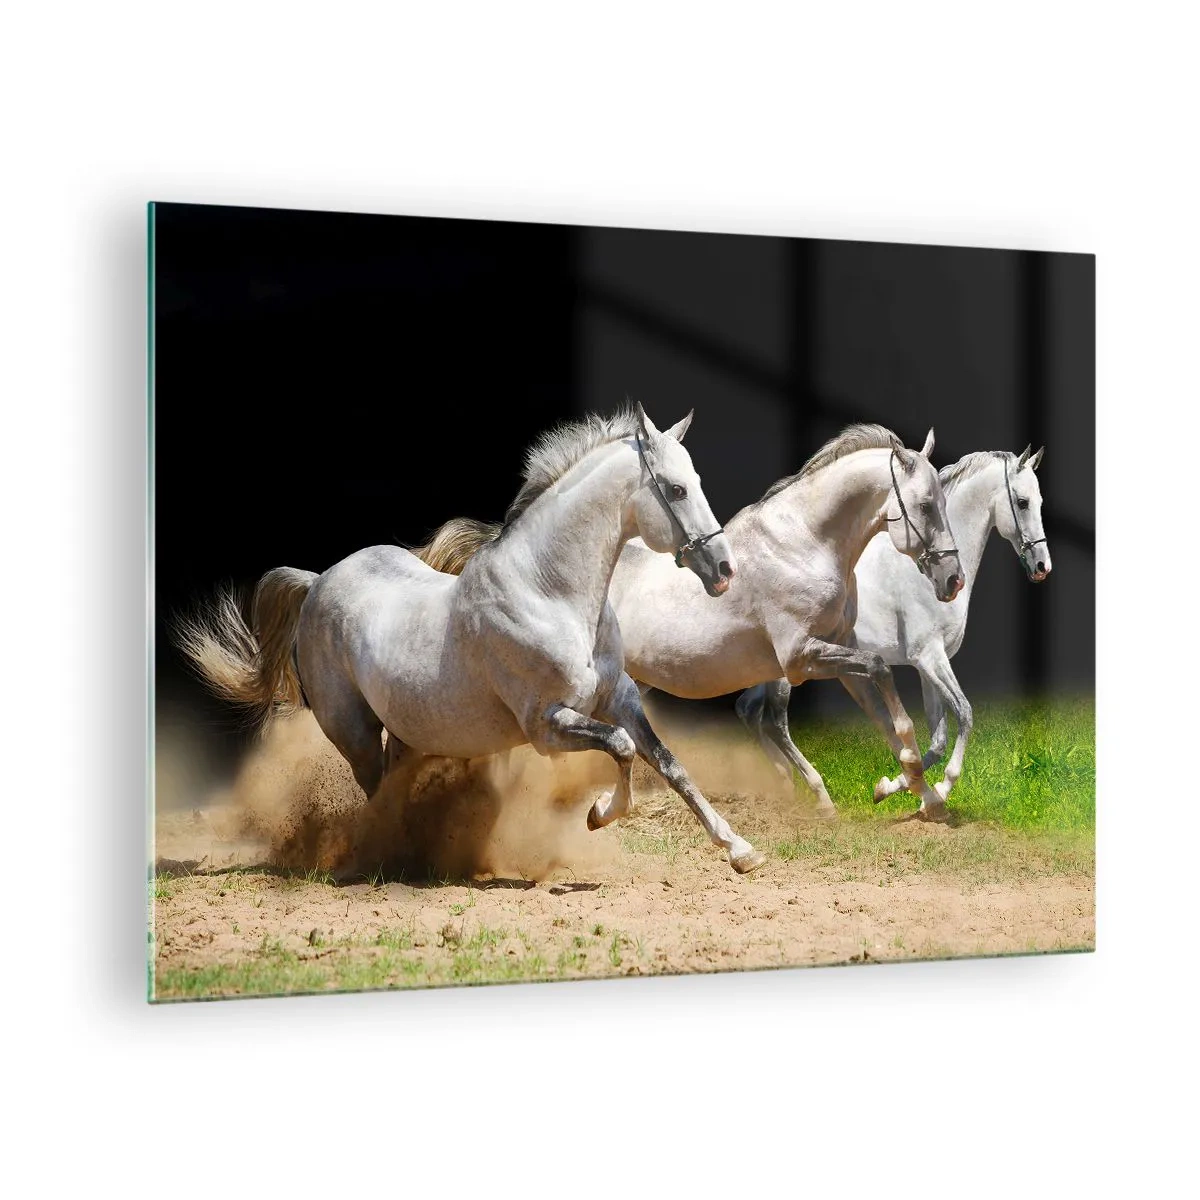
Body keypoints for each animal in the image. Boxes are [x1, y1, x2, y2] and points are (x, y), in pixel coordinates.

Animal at [176, 404, 768, 875]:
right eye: (675, 489)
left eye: (697, 480)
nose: (724, 570)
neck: (549, 592)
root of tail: (318, 581)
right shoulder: (546, 726)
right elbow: (622, 749)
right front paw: (599, 814)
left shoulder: (618, 697)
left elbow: (669, 764)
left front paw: (740, 850)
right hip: (355, 732)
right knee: (375, 792)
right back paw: (390, 859)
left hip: (408, 732)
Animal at [424, 424, 964, 819]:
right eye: (925, 505)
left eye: (943, 500)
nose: (953, 579)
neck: (805, 544)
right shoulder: (801, 658)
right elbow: (881, 670)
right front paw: (908, 781)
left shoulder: (836, 653)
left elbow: (886, 712)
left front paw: (919, 793)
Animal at [738, 445, 1049, 806]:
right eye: (1023, 502)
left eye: (1039, 501)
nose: (1042, 566)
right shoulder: (930, 657)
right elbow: (964, 713)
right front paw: (940, 787)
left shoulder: (928, 665)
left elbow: (937, 740)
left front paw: (895, 788)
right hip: (788, 671)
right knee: (775, 722)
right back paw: (815, 791)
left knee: (747, 710)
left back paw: (784, 782)